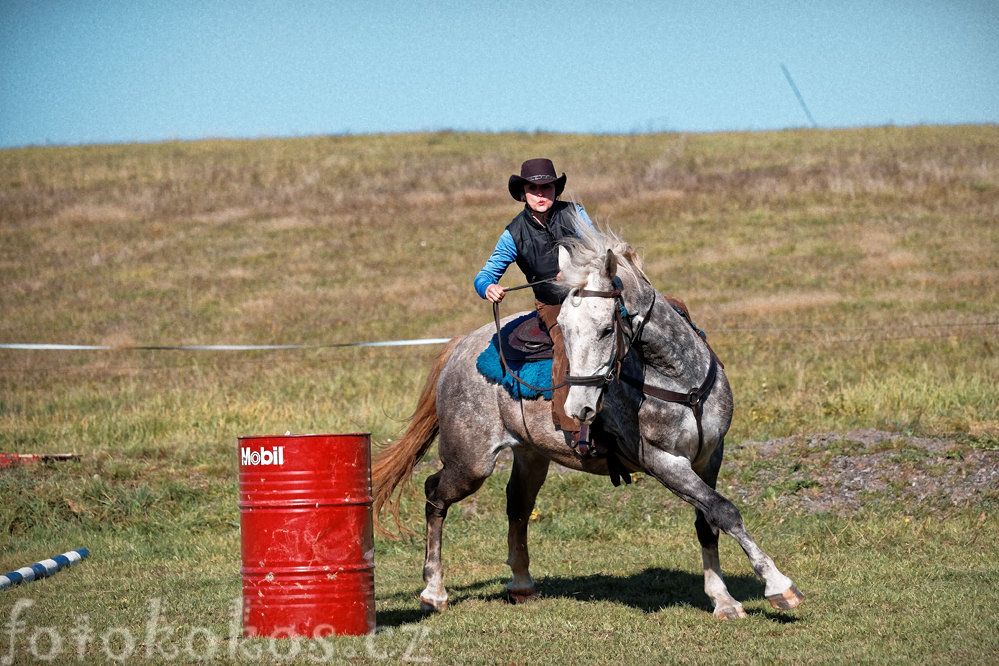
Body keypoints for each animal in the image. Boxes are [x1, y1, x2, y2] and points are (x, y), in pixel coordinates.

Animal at [376, 227, 804, 616]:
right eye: (563, 330)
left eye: (606, 328)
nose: (579, 409)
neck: (681, 380)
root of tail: (460, 346)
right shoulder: (664, 462)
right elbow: (724, 510)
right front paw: (778, 586)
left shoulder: (710, 455)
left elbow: (710, 520)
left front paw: (723, 599)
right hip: (471, 462)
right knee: (434, 494)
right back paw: (434, 591)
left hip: (531, 456)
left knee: (518, 505)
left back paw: (521, 584)